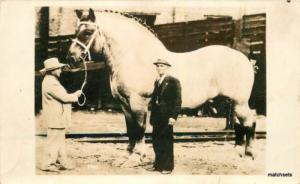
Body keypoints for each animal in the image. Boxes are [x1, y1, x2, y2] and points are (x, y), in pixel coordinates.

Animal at [68, 8, 258, 166]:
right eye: (76, 31)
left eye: (88, 32)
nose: (71, 58)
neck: (134, 57)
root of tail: (245, 59)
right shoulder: (124, 104)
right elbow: (130, 129)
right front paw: (127, 156)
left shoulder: (138, 102)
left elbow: (139, 128)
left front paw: (136, 157)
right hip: (232, 101)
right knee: (240, 123)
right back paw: (238, 152)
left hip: (239, 102)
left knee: (249, 121)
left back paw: (249, 153)